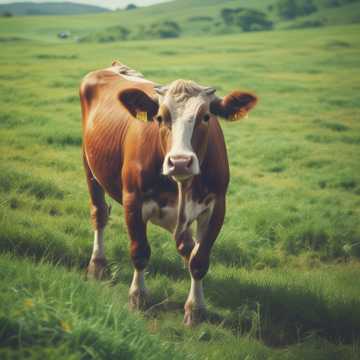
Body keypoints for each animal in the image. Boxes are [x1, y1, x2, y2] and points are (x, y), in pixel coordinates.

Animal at [80, 62, 258, 326]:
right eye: (160, 118)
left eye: (205, 117)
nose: (180, 162)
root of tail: (113, 67)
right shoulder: (132, 200)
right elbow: (140, 252)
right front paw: (138, 297)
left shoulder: (217, 206)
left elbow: (198, 259)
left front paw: (195, 308)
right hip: (89, 165)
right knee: (99, 214)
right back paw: (97, 264)